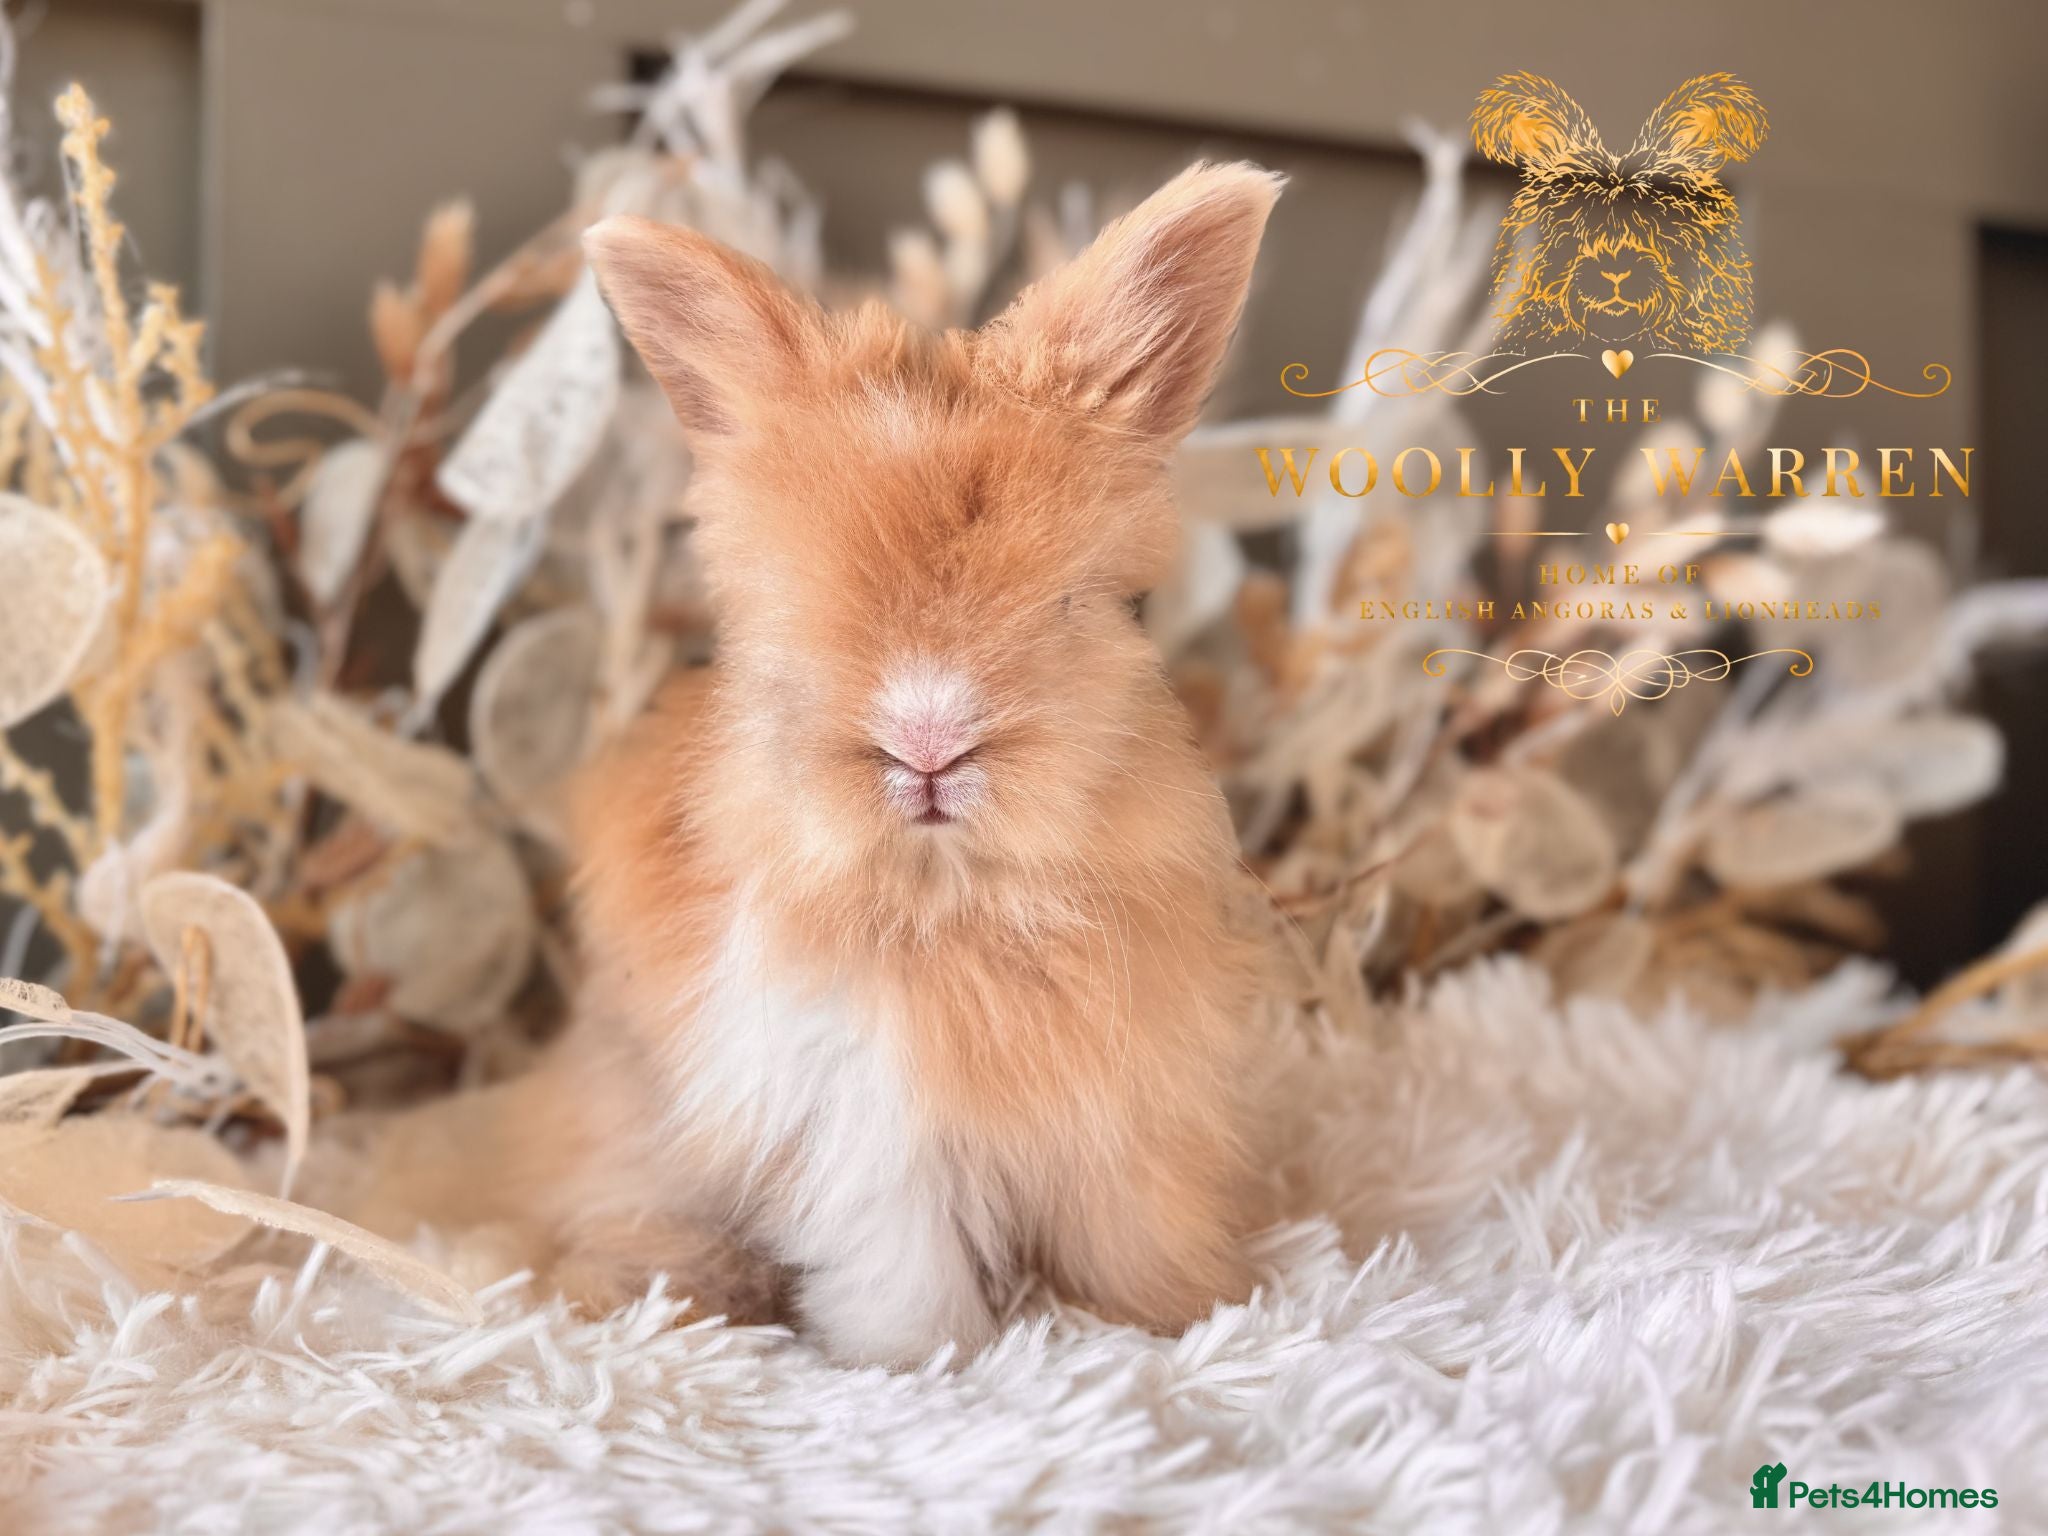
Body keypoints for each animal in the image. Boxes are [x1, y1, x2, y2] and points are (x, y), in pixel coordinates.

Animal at [514, 162, 1284, 1369]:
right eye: (786, 611)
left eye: (1078, 605)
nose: (927, 744)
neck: (953, 896)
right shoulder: (865, 1124)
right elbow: (902, 1254)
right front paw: (921, 1363)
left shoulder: (1122, 1096)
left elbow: (1134, 1220)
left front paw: (1176, 1318)